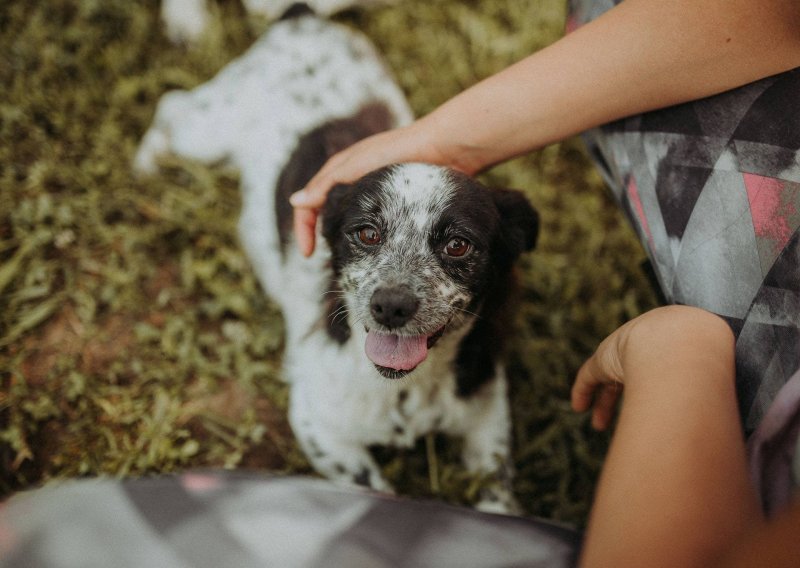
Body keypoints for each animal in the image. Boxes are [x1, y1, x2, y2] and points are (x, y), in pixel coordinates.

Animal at [136, 7, 536, 516]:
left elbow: (498, 497)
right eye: (365, 233)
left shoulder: (488, 422)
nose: (390, 306)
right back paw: (146, 162)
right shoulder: (317, 424)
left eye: (458, 245)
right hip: (207, 130)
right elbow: (374, 490)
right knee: (172, 104)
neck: (406, 389)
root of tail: (301, 15)